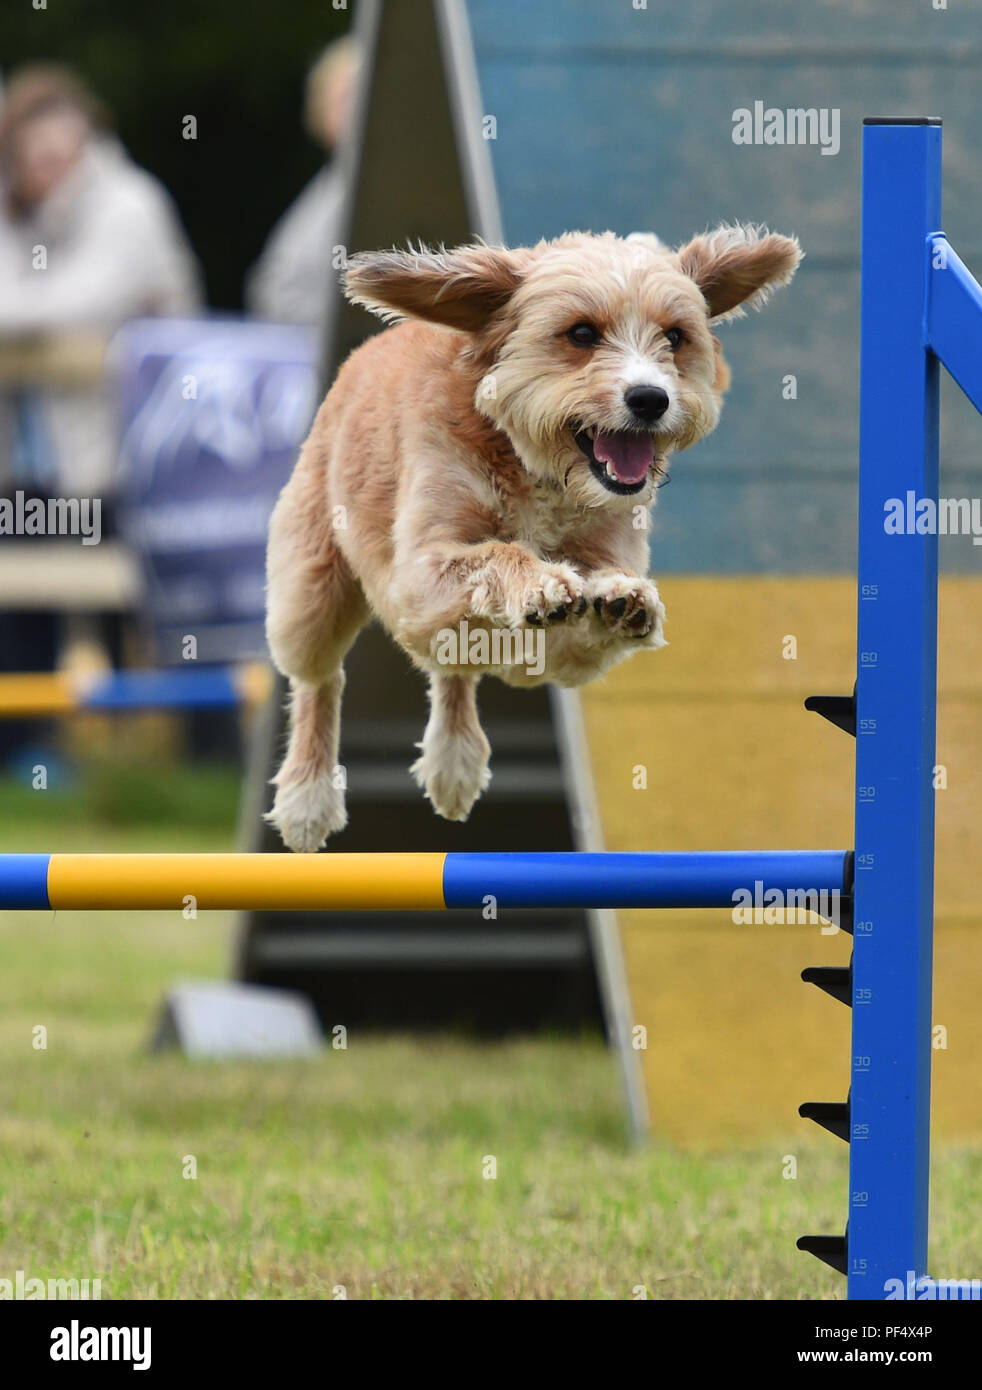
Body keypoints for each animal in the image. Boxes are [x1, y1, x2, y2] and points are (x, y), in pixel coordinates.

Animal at [264, 223, 801, 850]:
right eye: (581, 333)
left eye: (675, 336)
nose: (651, 399)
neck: (539, 468)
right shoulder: (415, 576)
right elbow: (497, 552)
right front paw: (539, 582)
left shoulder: (564, 638)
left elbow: (590, 604)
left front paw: (623, 599)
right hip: (311, 590)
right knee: (320, 680)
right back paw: (307, 795)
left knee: (451, 667)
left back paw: (453, 762)